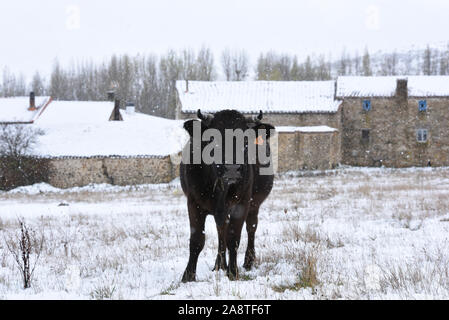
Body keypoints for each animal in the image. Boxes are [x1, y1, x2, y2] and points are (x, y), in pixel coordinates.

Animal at [178, 109, 272, 282]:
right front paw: (188, 275)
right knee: (221, 230)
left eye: (245, 139)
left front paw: (233, 272)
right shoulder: (193, 203)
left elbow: (233, 239)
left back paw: (248, 261)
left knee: (251, 228)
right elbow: (197, 240)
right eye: (213, 138)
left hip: (254, 205)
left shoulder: (241, 204)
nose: (232, 169)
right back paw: (219, 264)